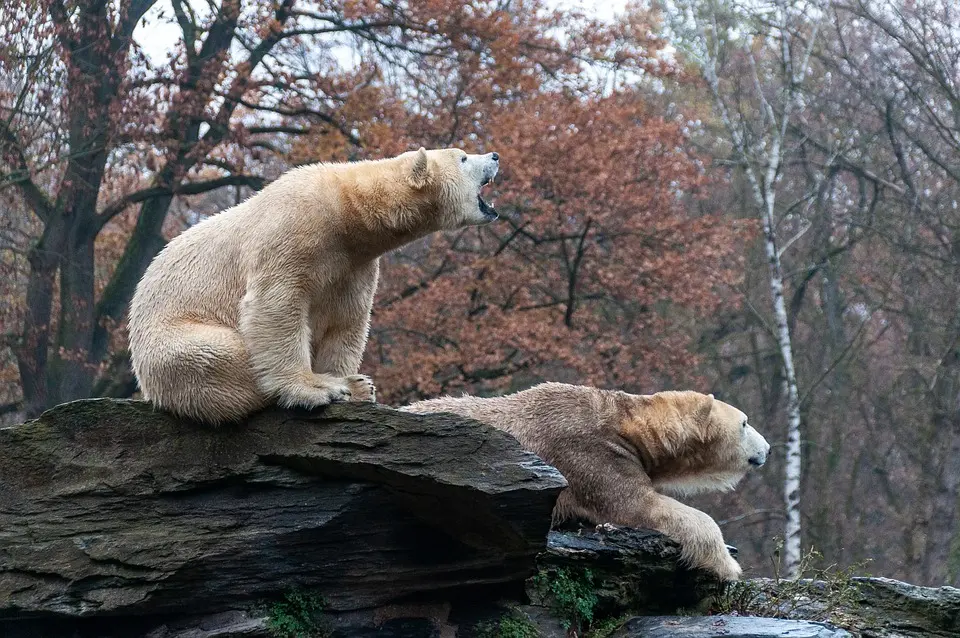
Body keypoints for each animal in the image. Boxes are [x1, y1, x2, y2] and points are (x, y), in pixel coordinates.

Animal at [129, 146, 502, 424]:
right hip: (171, 343)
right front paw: (318, 388)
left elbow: (346, 318)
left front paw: (350, 382)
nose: (496, 155)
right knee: (224, 355)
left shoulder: (354, 263)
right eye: (463, 157)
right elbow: (276, 306)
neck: (347, 208)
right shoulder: (293, 230)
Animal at [402, 382, 768, 584]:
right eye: (745, 423)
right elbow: (638, 505)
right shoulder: (590, 454)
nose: (767, 448)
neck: (627, 423)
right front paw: (728, 564)